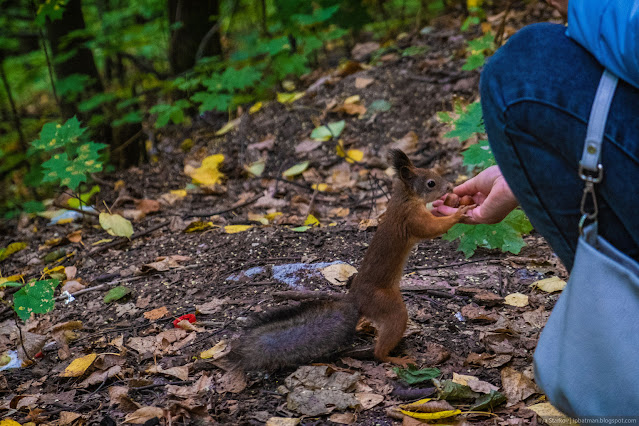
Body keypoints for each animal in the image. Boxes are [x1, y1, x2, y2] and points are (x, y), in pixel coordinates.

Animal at [232, 150, 472, 370]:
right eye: (431, 183)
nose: (450, 188)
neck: (404, 199)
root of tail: (356, 301)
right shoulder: (411, 218)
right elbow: (431, 228)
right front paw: (459, 212)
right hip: (388, 306)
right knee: (381, 346)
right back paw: (394, 358)